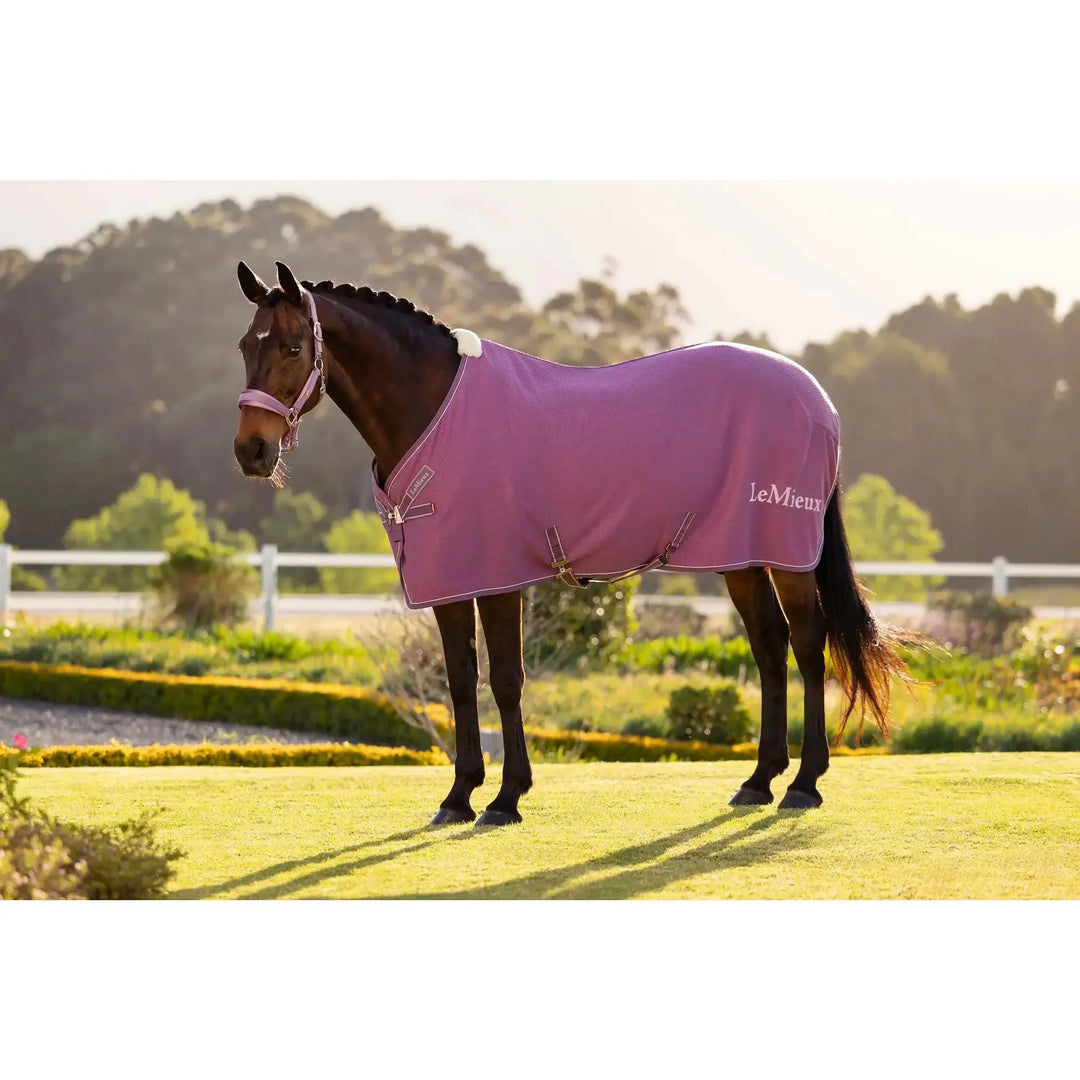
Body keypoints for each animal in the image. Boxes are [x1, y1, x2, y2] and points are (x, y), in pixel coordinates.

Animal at [232, 260, 908, 826]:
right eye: (245, 346)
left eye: (293, 346)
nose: (251, 451)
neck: (436, 414)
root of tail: (818, 400)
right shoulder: (447, 577)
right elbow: (459, 678)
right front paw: (459, 796)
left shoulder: (495, 575)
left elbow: (506, 677)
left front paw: (506, 797)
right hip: (739, 556)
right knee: (769, 646)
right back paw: (759, 780)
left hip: (787, 554)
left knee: (809, 644)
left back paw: (804, 783)